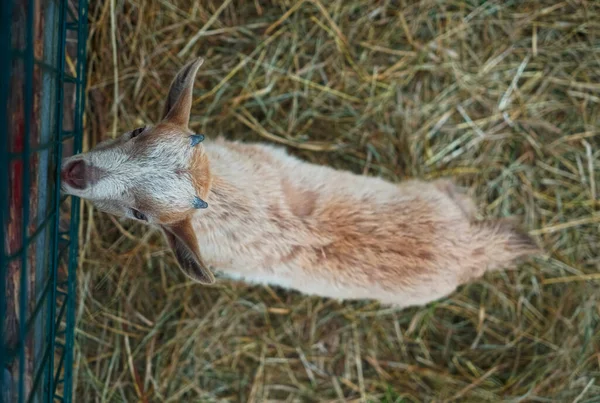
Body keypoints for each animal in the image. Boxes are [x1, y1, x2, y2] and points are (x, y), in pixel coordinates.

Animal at [62, 58, 540, 308]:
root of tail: (471, 249)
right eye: (137, 130)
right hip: (437, 194)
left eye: (141, 214)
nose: (73, 173)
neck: (222, 199)